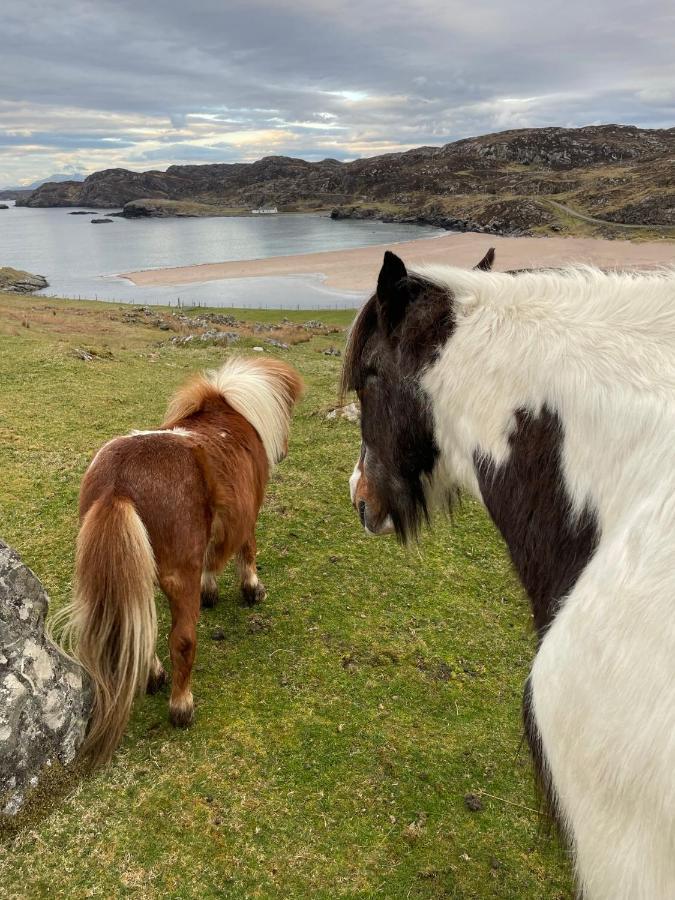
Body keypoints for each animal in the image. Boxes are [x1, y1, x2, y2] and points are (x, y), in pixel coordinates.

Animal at [60, 356, 304, 764]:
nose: (283, 452)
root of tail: (117, 484)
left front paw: (212, 590)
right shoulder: (246, 517)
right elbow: (247, 551)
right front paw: (252, 590)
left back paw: (154, 677)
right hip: (177, 578)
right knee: (182, 640)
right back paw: (181, 706)